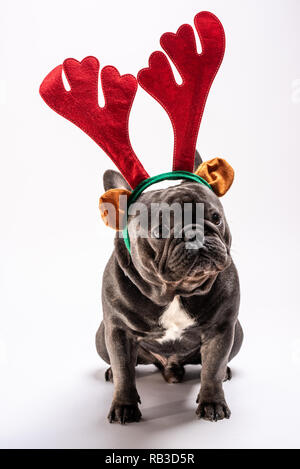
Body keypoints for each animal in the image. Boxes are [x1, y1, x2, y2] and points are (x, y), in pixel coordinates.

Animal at [96, 152, 244, 422]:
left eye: (215, 217)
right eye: (159, 231)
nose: (194, 233)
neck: (176, 291)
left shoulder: (221, 329)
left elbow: (213, 369)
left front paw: (212, 402)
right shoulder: (117, 331)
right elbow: (124, 371)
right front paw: (124, 406)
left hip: (237, 334)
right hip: (101, 339)